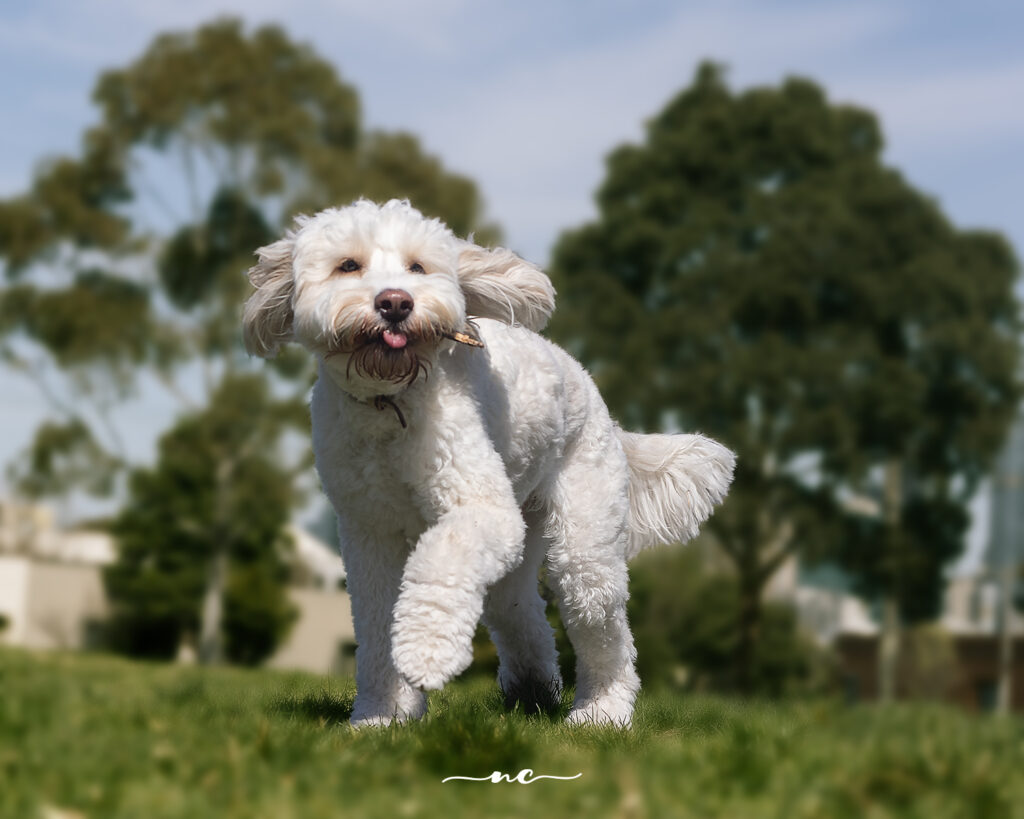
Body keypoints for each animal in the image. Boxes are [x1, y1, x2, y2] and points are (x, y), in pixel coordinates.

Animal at [243, 201, 733, 724]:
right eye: (348, 265)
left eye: (417, 267)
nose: (395, 303)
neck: (389, 404)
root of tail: (599, 400)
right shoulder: (369, 532)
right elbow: (374, 624)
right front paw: (382, 715)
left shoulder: (480, 508)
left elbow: (442, 557)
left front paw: (425, 652)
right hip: (518, 549)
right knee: (522, 613)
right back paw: (532, 692)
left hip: (584, 545)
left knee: (606, 630)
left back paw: (603, 710)